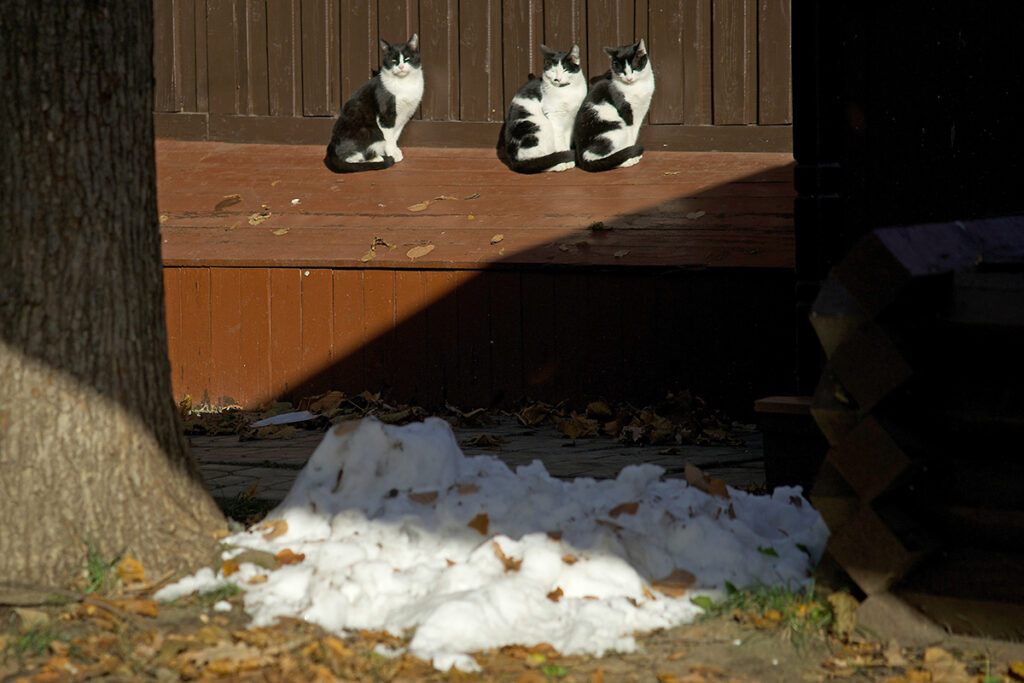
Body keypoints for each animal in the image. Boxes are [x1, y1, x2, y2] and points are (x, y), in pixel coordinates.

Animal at [325, 34, 425, 174]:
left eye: (407, 58)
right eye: (393, 60)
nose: (400, 67)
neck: (404, 84)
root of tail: (331, 146)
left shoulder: (404, 116)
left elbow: (395, 134)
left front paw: (394, 150)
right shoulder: (386, 115)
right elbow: (389, 136)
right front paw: (392, 153)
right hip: (366, 130)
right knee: (350, 157)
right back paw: (376, 158)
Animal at [501, 44, 589, 174]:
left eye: (565, 70)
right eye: (552, 71)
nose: (557, 79)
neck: (565, 91)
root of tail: (513, 160)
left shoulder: (571, 120)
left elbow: (566, 140)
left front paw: (568, 157)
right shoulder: (554, 118)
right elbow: (560, 141)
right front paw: (565, 160)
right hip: (541, 127)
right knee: (538, 162)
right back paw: (558, 165)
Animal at [573, 39, 651, 172]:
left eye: (634, 68)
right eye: (621, 71)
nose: (629, 78)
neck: (636, 86)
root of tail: (581, 157)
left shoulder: (641, 113)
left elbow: (634, 133)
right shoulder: (626, 111)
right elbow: (630, 135)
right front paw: (631, 154)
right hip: (615, 130)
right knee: (596, 157)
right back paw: (624, 160)